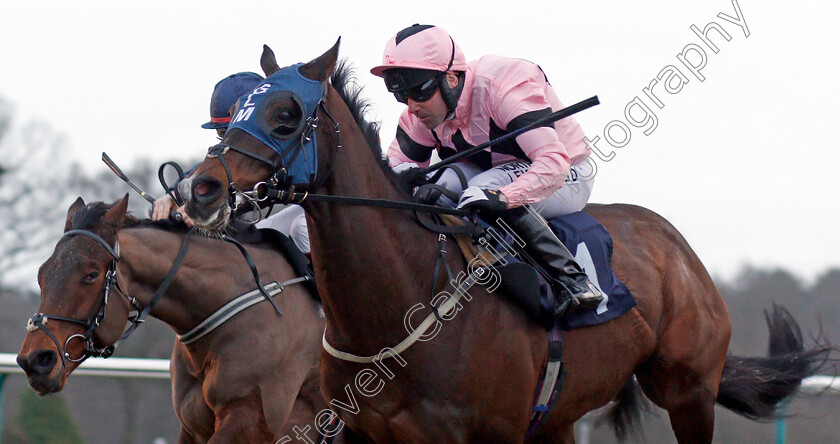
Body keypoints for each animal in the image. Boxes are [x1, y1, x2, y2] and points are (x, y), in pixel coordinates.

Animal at [180, 40, 832, 442]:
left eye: (286, 116)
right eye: (239, 110)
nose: (201, 188)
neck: (399, 306)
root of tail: (677, 246)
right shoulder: (360, 431)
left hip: (689, 391)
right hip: (560, 414)